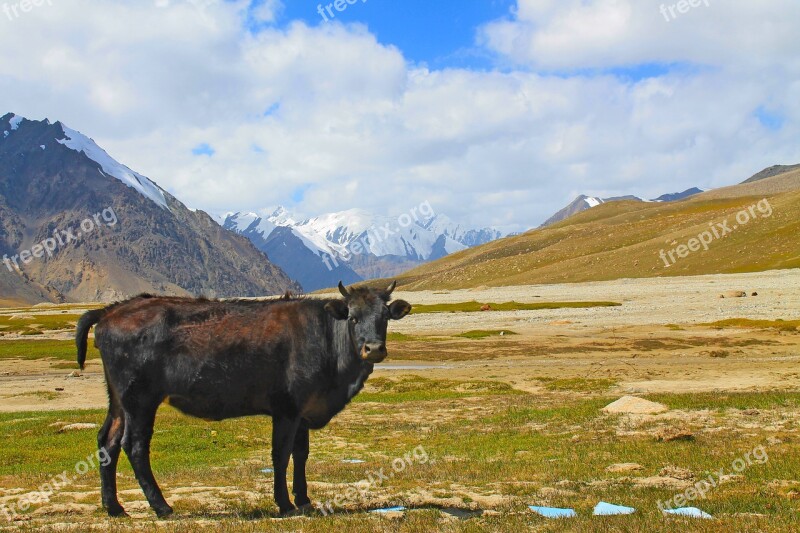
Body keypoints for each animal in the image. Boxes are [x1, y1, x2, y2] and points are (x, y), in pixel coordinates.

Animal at [75, 280, 412, 516]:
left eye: (384, 317)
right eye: (353, 317)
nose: (374, 348)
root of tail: (112, 310)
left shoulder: (304, 411)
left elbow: (301, 454)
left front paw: (304, 500)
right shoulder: (286, 409)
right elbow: (281, 455)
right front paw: (285, 504)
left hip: (119, 401)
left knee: (107, 441)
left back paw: (115, 508)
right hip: (140, 400)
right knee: (134, 446)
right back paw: (162, 507)